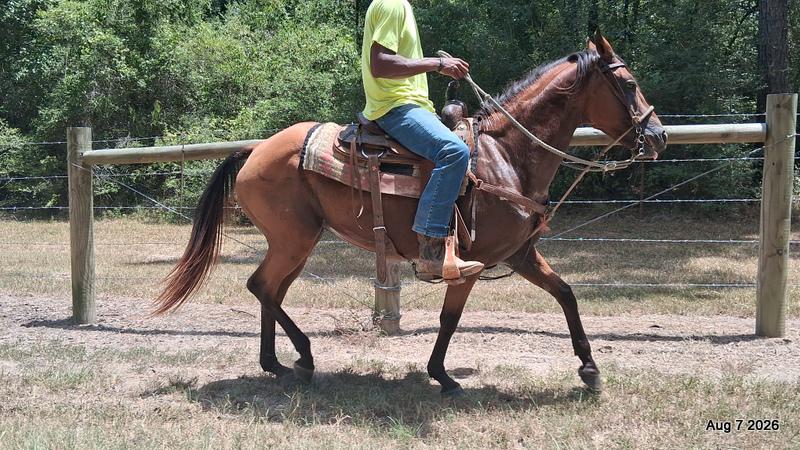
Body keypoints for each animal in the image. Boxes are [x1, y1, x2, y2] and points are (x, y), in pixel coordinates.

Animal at [154, 32, 667, 397]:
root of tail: (255, 150)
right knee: (262, 286)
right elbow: (450, 318)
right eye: (629, 84)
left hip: (298, 242)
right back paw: (301, 356)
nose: (659, 136)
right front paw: (443, 375)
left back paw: (279, 363)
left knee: (270, 290)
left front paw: (590, 368)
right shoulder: (472, 263)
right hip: (293, 239)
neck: (506, 156)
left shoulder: (519, 254)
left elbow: (566, 294)